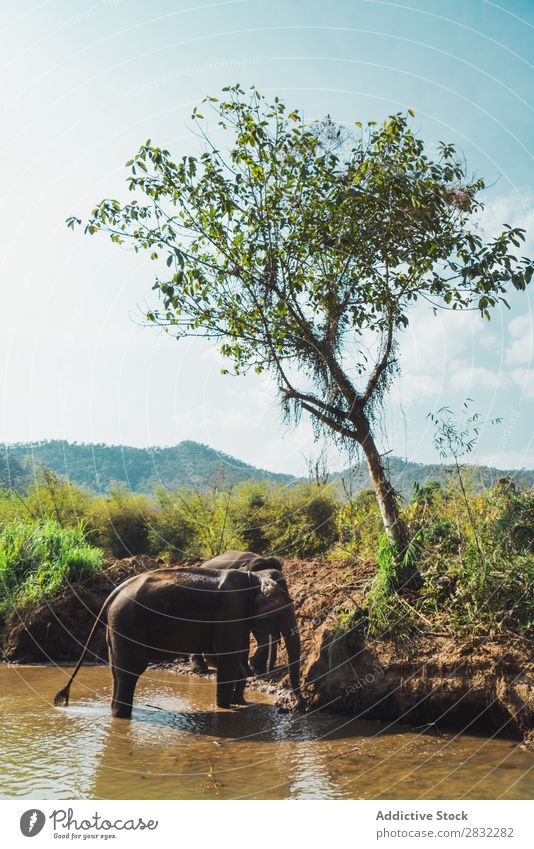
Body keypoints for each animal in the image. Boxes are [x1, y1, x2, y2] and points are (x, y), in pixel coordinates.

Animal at [54, 568, 302, 720]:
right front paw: (225, 708)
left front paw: (241, 702)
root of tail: (113, 593)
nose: (298, 705)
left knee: (119, 672)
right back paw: (122, 718)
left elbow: (235, 658)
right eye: (283, 612)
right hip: (127, 625)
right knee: (130, 672)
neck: (254, 577)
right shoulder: (231, 611)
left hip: (117, 630)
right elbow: (228, 659)